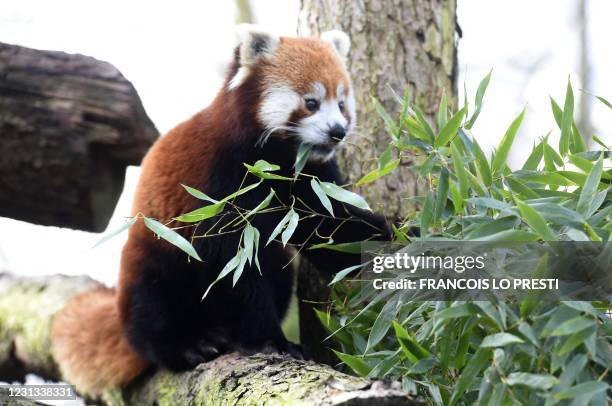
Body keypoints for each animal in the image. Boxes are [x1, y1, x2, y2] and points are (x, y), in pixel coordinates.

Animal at [49, 24, 392, 394]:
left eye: (342, 104)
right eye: (311, 103)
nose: (337, 132)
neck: (276, 162)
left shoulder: (310, 181)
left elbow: (332, 228)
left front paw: (401, 238)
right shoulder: (222, 183)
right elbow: (233, 266)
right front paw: (271, 341)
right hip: (154, 255)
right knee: (150, 306)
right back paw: (188, 344)